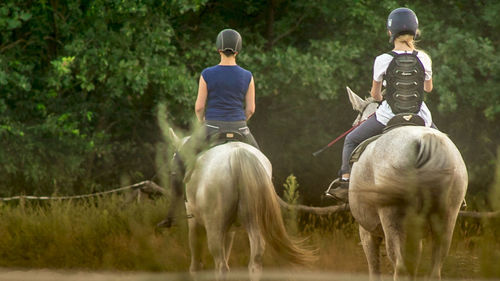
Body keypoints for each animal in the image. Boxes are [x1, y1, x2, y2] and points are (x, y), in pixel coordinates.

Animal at [170, 129, 314, 280]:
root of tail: (237, 154)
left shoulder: (194, 223)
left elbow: (196, 265)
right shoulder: (229, 230)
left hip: (214, 227)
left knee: (221, 266)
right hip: (254, 222)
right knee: (254, 262)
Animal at [346, 86, 466, 278]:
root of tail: (425, 143)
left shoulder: (366, 230)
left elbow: (374, 268)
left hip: (393, 219)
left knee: (400, 267)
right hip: (446, 218)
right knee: (434, 269)